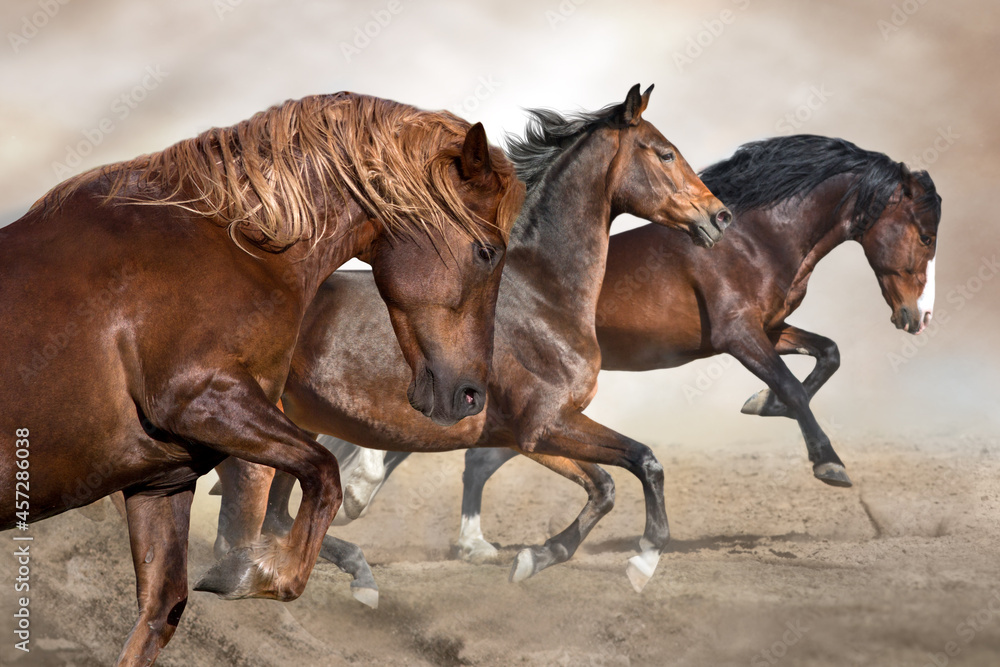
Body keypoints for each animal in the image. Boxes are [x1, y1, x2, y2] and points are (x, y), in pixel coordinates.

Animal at [0, 92, 524, 666]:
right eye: (486, 251)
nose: (470, 396)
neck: (235, 244)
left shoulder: (161, 480)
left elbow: (161, 609)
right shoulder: (203, 399)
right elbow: (322, 475)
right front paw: (256, 571)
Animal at [211, 84, 733, 604]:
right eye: (666, 153)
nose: (720, 216)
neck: (540, 295)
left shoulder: (529, 436)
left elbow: (603, 487)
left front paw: (533, 559)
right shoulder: (545, 425)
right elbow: (645, 461)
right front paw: (644, 561)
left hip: (303, 423)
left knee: (274, 513)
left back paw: (347, 573)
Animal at [307, 134, 942, 566]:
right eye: (925, 233)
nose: (918, 318)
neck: (754, 238)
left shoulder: (772, 328)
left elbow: (827, 354)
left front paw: (761, 406)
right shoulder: (739, 335)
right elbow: (793, 383)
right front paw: (828, 464)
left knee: (471, 455)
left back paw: (466, 540)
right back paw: (377, 502)